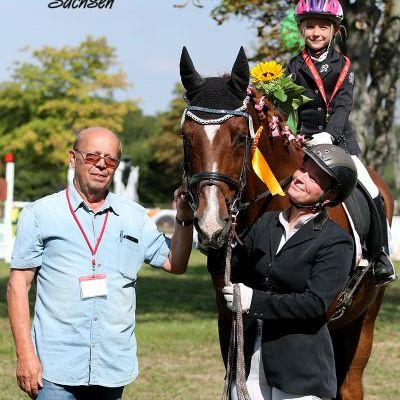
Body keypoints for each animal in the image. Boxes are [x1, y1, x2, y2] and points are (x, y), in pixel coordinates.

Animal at [178, 46, 394, 400]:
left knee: (350, 384)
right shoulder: (228, 320)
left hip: (363, 320)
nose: (211, 226)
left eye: (241, 137)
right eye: (186, 137)